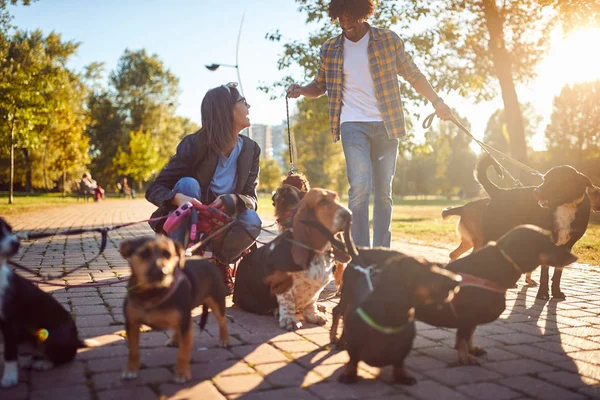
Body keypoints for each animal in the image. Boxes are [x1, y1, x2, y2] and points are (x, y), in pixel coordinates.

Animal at [0, 217, 85, 390]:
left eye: (10, 230)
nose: (16, 244)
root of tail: (75, 340)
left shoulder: (9, 323)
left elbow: (9, 354)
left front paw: (9, 378)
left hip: (54, 338)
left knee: (65, 357)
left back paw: (44, 363)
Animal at [120, 236, 230, 382]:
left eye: (167, 254)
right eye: (144, 253)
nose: (161, 272)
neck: (153, 293)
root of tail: (209, 261)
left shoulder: (185, 322)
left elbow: (183, 352)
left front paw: (182, 373)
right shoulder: (131, 323)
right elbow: (133, 350)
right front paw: (130, 370)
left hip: (216, 301)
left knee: (222, 321)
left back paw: (224, 339)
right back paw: (174, 339)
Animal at [338, 256, 460, 384]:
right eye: (421, 268)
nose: (458, 280)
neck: (392, 320)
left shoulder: (405, 347)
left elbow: (399, 362)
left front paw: (402, 376)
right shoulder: (353, 344)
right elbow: (353, 359)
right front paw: (349, 374)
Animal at [476, 156, 596, 300]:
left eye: (555, 180)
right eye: (545, 179)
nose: (535, 192)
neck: (566, 206)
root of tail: (499, 191)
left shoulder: (566, 246)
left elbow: (558, 272)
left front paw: (556, 292)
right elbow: (545, 274)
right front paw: (543, 293)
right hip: (492, 234)